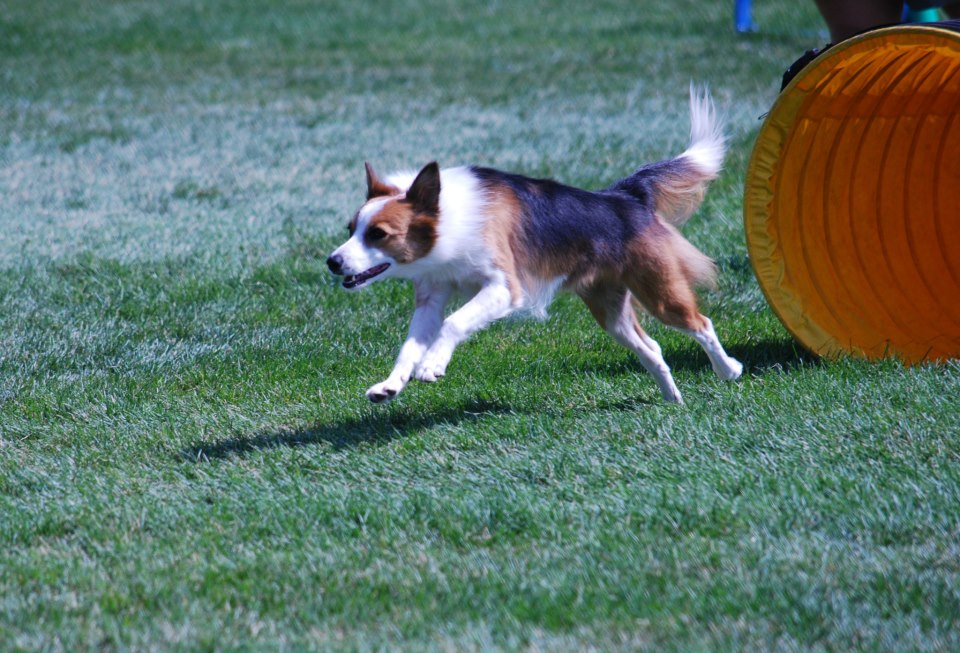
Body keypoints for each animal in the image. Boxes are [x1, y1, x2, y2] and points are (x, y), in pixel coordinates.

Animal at [328, 86, 744, 402]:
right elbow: (410, 344)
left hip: (660, 291)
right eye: (350, 228)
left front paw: (432, 364)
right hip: (610, 311)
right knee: (653, 348)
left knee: (702, 323)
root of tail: (626, 196)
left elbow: (453, 323)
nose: (332, 262)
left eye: (378, 234)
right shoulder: (432, 295)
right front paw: (391, 384)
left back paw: (729, 369)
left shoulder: (504, 288)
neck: (447, 221)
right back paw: (672, 397)